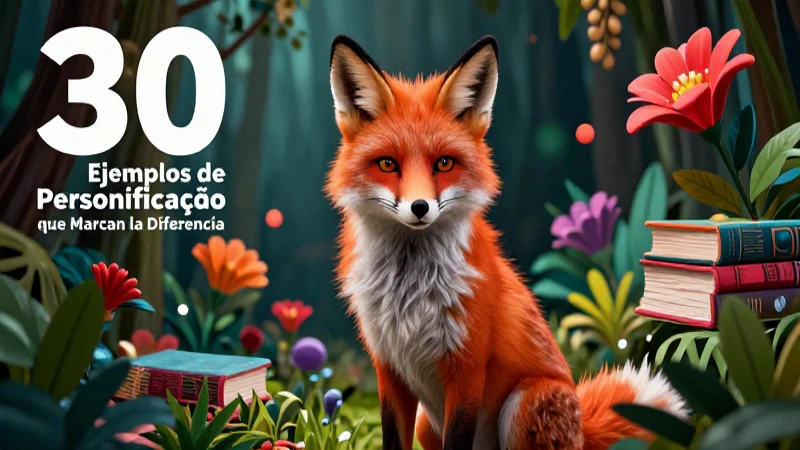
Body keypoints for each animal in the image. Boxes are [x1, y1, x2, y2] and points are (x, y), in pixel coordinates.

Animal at [325, 35, 687, 450]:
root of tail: (582, 423)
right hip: (426, 424)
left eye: (444, 164)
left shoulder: (467, 368)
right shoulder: (389, 370)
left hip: (522, 405)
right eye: (387, 164)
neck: (410, 291)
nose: (419, 207)